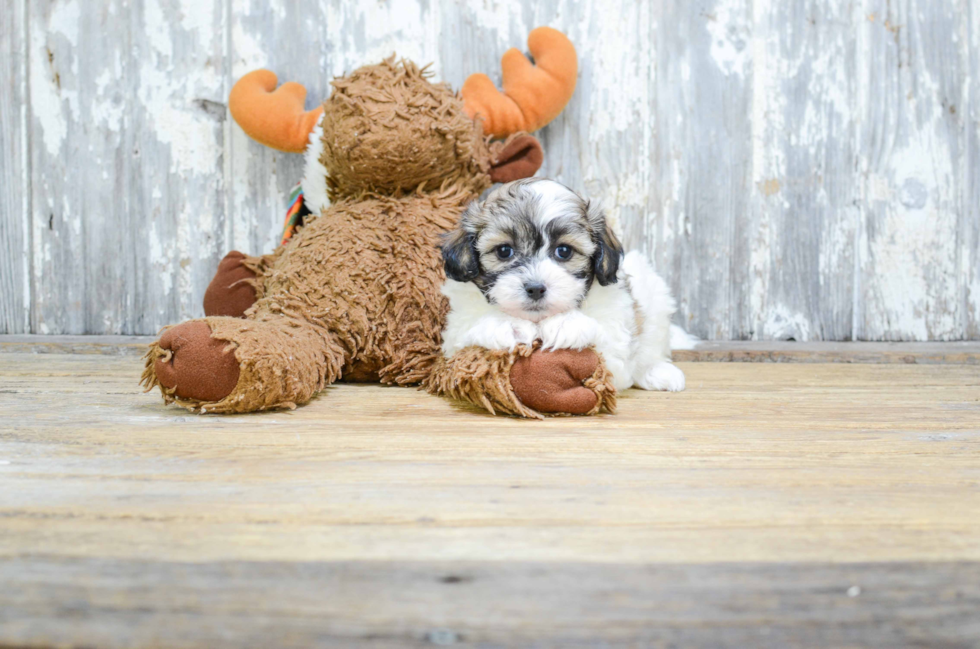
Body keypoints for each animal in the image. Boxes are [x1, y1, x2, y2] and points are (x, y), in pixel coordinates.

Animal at [440, 176, 684, 390]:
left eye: (564, 251)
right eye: (504, 251)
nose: (535, 288)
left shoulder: (617, 344)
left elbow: (606, 348)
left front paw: (566, 323)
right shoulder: (453, 340)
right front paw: (505, 324)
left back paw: (658, 372)